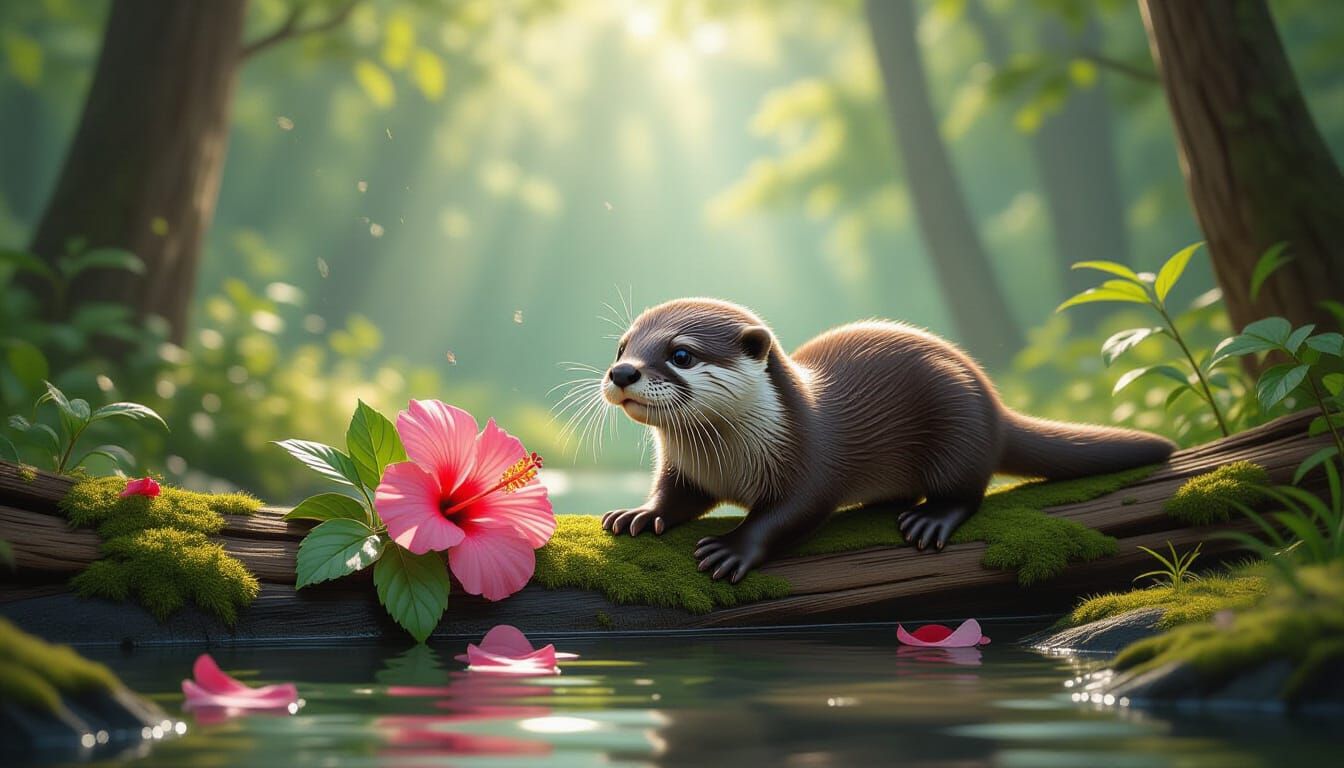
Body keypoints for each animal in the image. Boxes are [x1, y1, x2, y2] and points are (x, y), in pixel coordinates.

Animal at [598, 298, 1174, 583]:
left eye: (681, 354)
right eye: (623, 346)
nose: (622, 371)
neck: (729, 460)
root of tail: (992, 401)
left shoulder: (812, 459)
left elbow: (793, 512)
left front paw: (733, 547)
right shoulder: (686, 470)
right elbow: (675, 497)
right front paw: (639, 514)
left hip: (958, 424)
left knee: (969, 489)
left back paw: (930, 519)